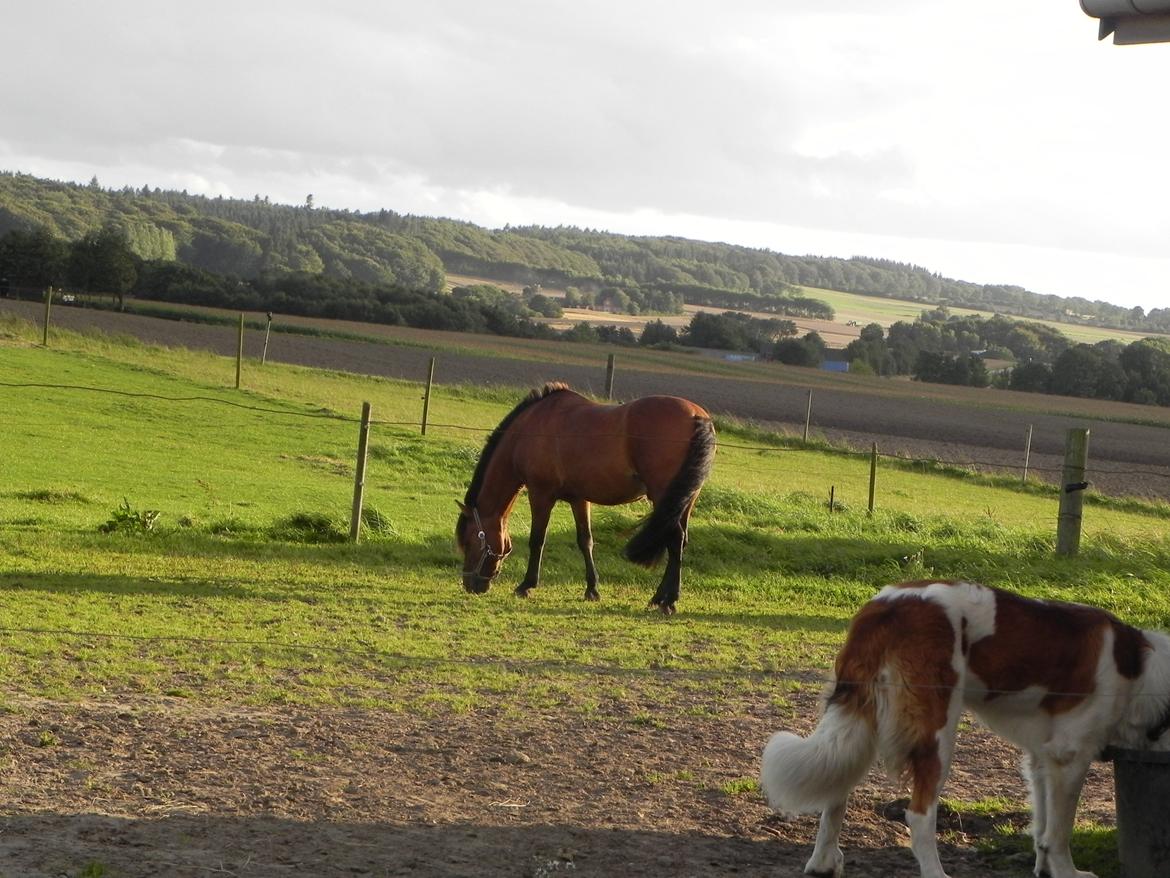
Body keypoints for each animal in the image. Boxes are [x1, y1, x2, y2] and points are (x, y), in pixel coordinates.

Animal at [453, 381, 711, 613]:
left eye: (470, 541)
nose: (470, 584)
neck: (531, 427)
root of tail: (697, 416)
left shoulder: (540, 494)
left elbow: (537, 540)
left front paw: (526, 585)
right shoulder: (579, 499)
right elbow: (585, 541)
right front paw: (592, 589)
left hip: (664, 496)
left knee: (675, 539)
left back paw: (669, 600)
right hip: (684, 500)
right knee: (679, 542)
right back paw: (659, 597)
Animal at [762, 585, 1170, 878]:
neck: (1141, 672)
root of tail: (888, 605)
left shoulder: (1043, 757)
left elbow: (1042, 823)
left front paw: (1044, 869)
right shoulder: (1071, 756)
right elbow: (1059, 831)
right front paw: (1067, 872)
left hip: (862, 719)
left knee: (837, 792)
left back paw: (823, 862)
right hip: (937, 733)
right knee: (919, 814)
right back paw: (935, 873)